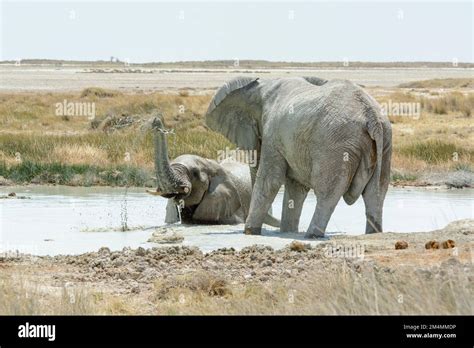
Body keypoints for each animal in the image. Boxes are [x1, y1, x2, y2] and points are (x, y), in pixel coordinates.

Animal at [206, 76, 390, 238]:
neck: (262, 86)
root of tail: (371, 115)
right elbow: (296, 187)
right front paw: (287, 232)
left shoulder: (273, 133)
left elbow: (271, 180)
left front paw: (250, 232)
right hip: (385, 143)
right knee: (376, 191)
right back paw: (373, 233)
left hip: (337, 144)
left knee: (328, 191)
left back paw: (312, 235)